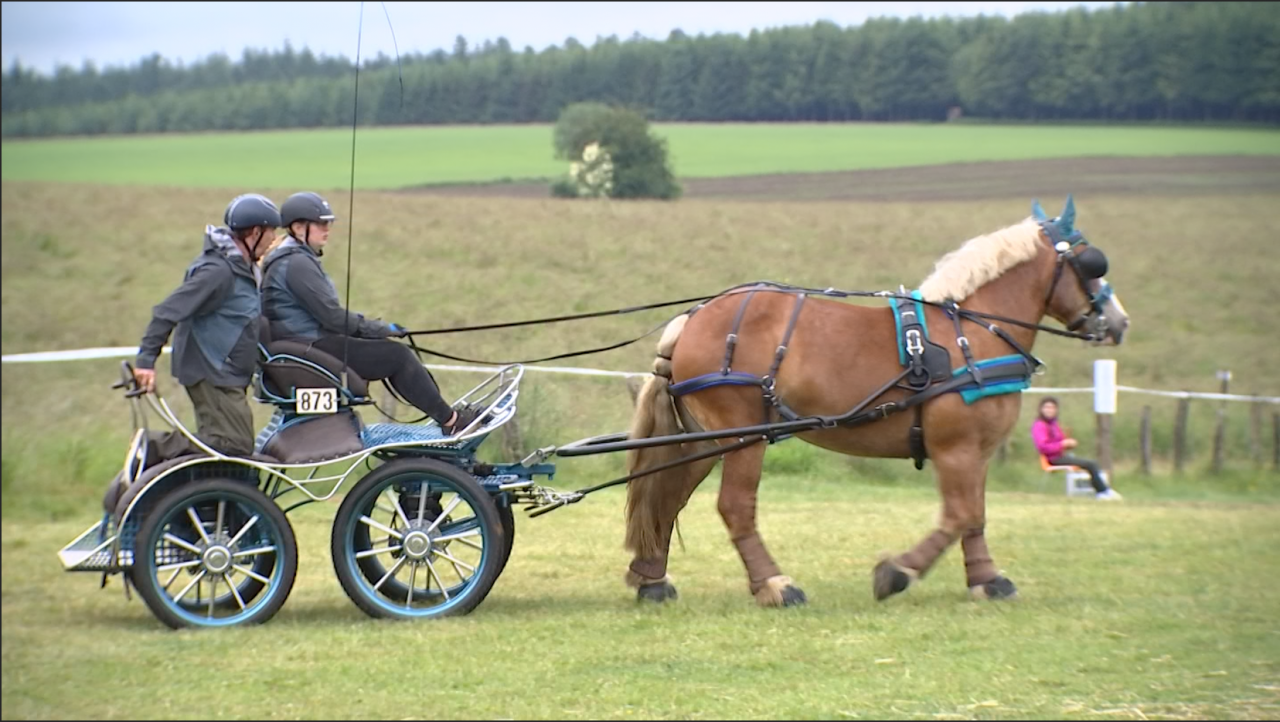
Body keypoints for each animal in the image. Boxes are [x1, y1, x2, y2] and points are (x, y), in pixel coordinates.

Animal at [619, 194, 1131, 606]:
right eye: (1092, 261)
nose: (1119, 321)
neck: (971, 333)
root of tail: (693, 318)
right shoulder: (957, 448)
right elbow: (960, 513)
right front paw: (896, 573)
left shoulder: (978, 451)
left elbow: (976, 515)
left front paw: (986, 579)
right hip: (745, 435)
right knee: (733, 506)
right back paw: (775, 585)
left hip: (708, 437)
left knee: (668, 495)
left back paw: (652, 580)